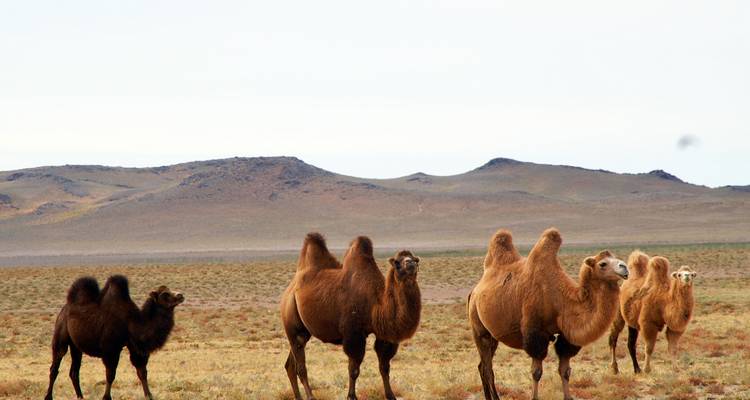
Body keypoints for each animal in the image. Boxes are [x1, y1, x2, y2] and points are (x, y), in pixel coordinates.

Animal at [45, 275, 184, 400]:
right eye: (165, 294)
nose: (180, 296)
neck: (131, 322)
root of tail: (64, 309)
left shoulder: (135, 347)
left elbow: (142, 372)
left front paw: (149, 395)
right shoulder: (111, 349)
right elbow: (110, 374)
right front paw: (106, 397)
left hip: (76, 346)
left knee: (74, 371)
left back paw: (80, 396)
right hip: (61, 335)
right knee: (55, 367)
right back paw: (48, 396)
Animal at [280, 233, 422, 400]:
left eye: (415, 259)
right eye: (398, 263)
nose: (410, 263)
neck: (376, 304)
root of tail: (289, 290)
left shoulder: (384, 335)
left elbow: (384, 367)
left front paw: (390, 395)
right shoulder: (354, 334)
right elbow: (354, 370)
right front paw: (351, 396)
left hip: (304, 331)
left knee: (291, 364)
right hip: (291, 320)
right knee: (300, 366)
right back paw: (310, 396)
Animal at [468, 228, 629, 400]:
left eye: (617, 258)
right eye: (602, 263)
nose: (625, 268)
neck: (561, 299)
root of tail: (474, 292)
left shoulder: (565, 337)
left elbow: (565, 371)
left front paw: (568, 396)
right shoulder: (535, 334)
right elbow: (536, 372)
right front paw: (534, 397)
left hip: (493, 336)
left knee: (482, 366)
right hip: (479, 330)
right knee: (487, 367)